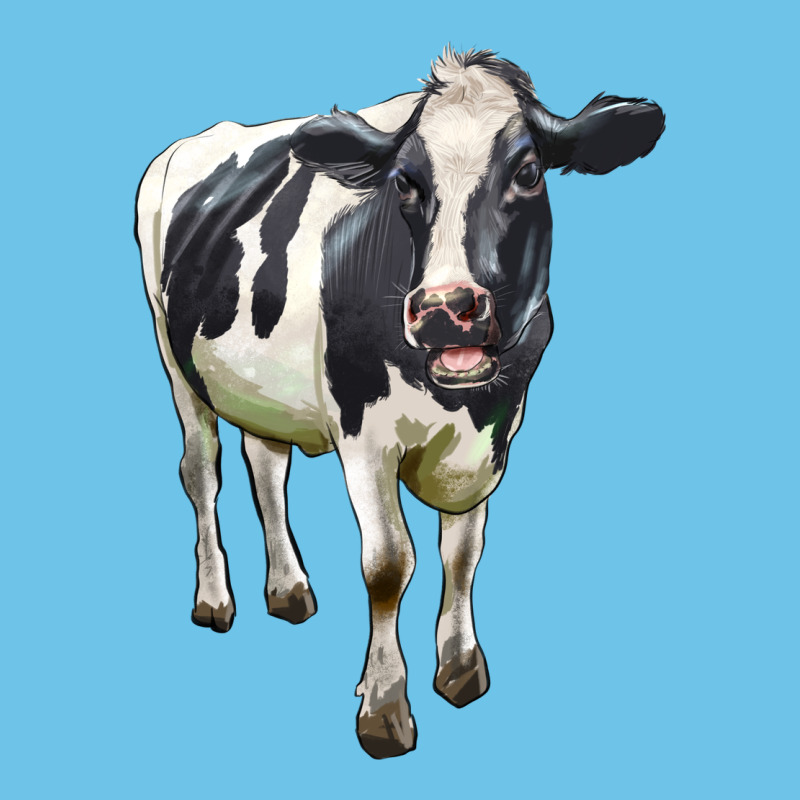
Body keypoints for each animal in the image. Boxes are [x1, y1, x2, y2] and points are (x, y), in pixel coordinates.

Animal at [135, 47, 664, 759]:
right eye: (406, 182)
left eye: (528, 172)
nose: (445, 308)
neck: (461, 404)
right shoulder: (364, 433)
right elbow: (389, 564)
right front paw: (384, 707)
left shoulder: (495, 436)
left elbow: (463, 552)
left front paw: (461, 667)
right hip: (174, 359)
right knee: (201, 473)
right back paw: (215, 598)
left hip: (259, 384)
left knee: (267, 466)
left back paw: (289, 588)